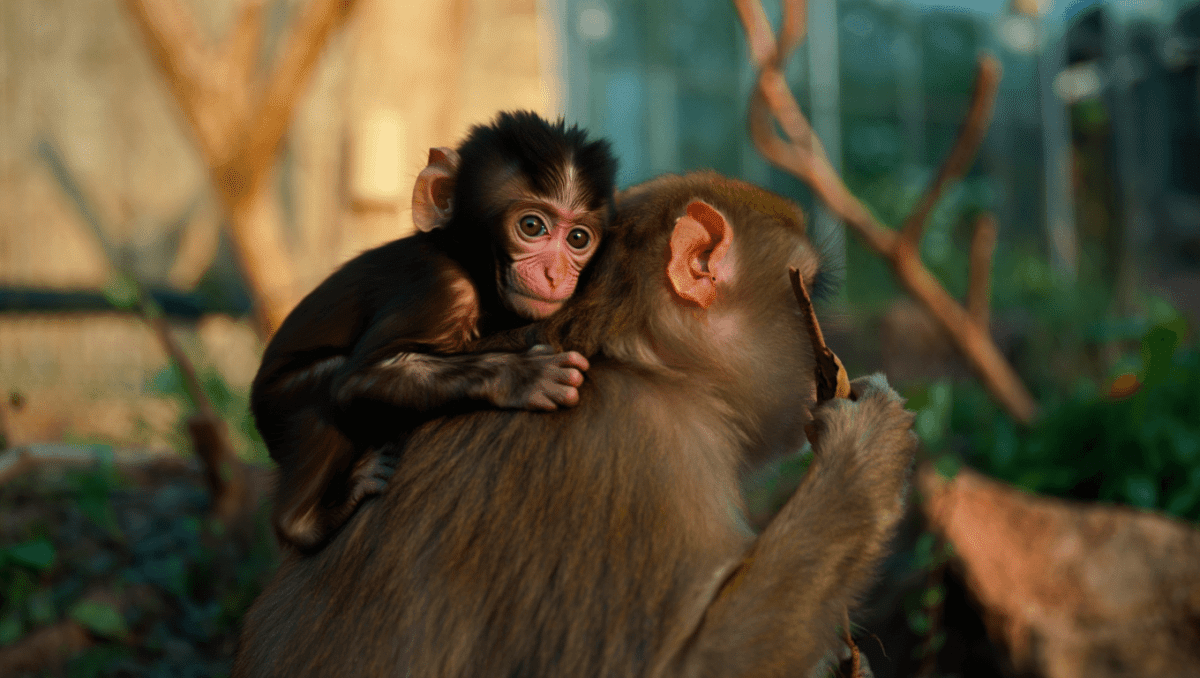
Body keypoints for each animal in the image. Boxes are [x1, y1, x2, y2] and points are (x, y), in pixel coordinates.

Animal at [233, 171, 917, 678]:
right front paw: (868, 446)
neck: (628, 355)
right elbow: (696, 665)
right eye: (811, 297)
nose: (833, 363)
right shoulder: (641, 447)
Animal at [250, 111, 618, 552]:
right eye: (532, 226)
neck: (472, 268)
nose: (556, 273)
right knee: (327, 379)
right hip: (278, 406)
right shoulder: (442, 289)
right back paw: (303, 521)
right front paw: (523, 375)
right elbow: (359, 380)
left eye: (578, 238)